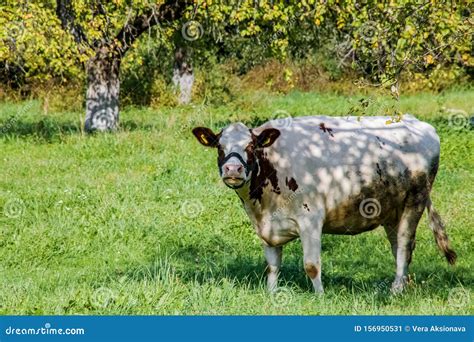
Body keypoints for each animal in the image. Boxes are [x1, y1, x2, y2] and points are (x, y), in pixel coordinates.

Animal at [192, 115, 456, 294]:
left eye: (251, 146)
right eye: (219, 146)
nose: (232, 169)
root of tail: (418, 123)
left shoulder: (310, 219)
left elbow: (311, 265)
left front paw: (319, 296)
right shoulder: (267, 226)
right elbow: (272, 265)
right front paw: (271, 293)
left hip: (415, 201)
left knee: (404, 245)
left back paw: (396, 290)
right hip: (392, 210)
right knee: (400, 248)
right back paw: (402, 284)